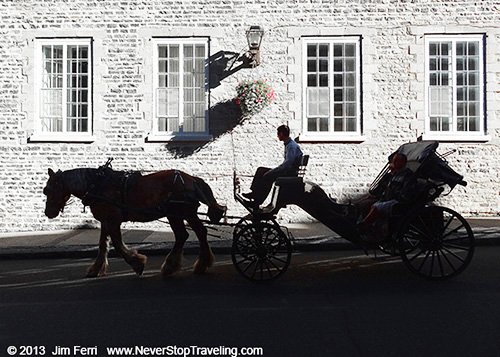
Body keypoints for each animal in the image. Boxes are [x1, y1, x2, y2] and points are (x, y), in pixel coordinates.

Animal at [43, 164, 227, 278]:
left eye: (48, 190)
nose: (48, 213)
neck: (97, 185)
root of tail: (192, 179)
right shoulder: (105, 220)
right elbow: (103, 245)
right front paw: (96, 269)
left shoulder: (113, 220)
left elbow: (117, 244)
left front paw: (137, 263)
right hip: (175, 214)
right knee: (186, 235)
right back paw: (177, 265)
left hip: (182, 212)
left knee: (197, 233)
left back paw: (197, 264)